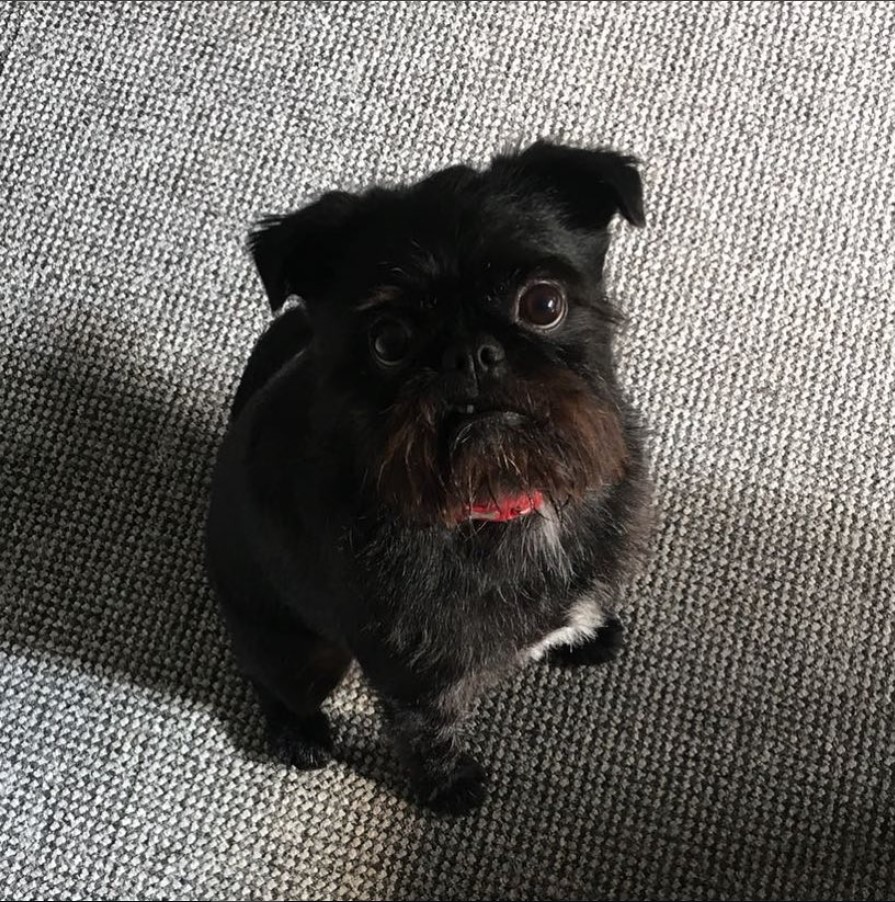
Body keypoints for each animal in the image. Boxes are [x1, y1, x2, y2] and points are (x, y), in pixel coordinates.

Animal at [207, 143, 656, 820]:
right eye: (389, 341)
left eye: (543, 304)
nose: (469, 354)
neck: (500, 497)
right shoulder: (414, 680)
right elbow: (427, 735)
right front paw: (448, 790)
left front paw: (584, 633)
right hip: (300, 652)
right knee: (272, 682)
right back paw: (298, 734)